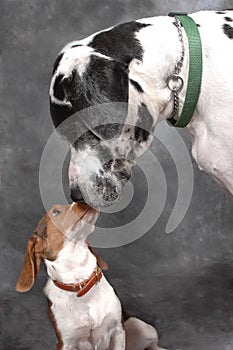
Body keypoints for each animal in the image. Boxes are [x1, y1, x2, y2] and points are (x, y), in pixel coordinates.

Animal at [15, 204, 164, 348]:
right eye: (56, 212)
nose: (82, 200)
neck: (81, 283)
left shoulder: (118, 330)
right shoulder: (65, 343)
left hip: (146, 329)